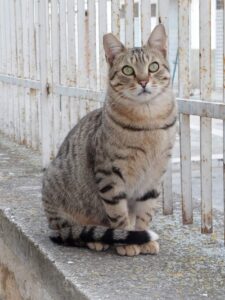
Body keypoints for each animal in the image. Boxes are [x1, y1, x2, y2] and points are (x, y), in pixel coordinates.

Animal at [41, 24, 177, 256]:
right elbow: (119, 214)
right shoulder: (110, 175)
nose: (143, 81)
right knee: (73, 232)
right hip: (57, 196)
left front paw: (142, 239)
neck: (148, 119)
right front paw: (129, 242)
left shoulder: (154, 176)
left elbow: (145, 213)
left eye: (153, 66)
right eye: (127, 70)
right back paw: (95, 239)